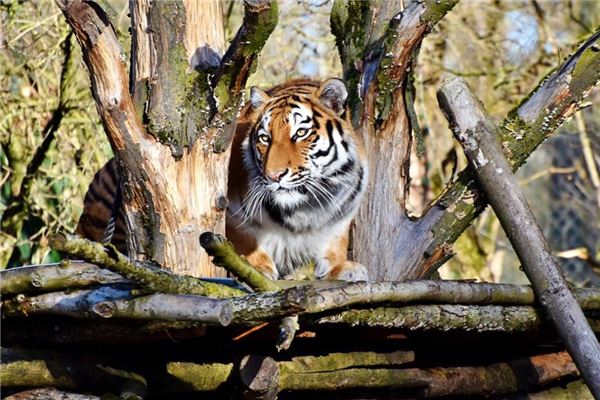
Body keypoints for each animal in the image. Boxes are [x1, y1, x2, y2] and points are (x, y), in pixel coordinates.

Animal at [74, 79, 366, 282]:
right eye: (264, 138)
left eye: (301, 133)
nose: (274, 176)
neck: (305, 206)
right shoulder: (228, 208)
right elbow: (242, 239)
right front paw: (257, 267)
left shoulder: (339, 217)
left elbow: (334, 246)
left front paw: (343, 268)